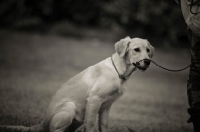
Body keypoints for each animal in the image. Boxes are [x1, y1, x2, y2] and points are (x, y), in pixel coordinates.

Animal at [0, 36, 155, 132]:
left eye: (148, 50)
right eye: (136, 49)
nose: (148, 61)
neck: (119, 71)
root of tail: (42, 123)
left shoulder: (107, 106)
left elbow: (103, 125)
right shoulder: (94, 99)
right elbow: (90, 124)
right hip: (70, 108)